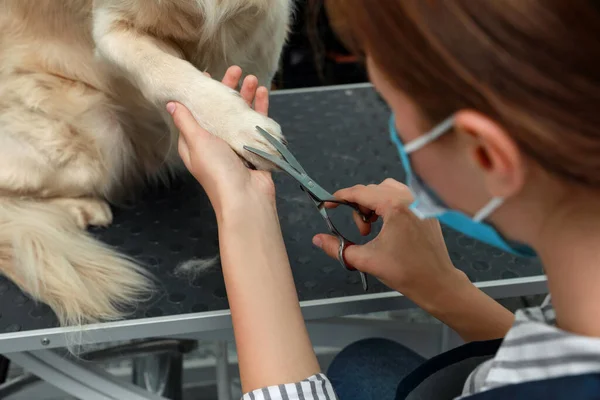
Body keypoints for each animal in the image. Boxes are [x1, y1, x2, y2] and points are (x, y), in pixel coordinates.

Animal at [0, 0, 292, 324]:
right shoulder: (110, 30)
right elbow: (163, 70)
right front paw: (237, 125)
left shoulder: (264, 26)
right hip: (102, 140)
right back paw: (86, 208)